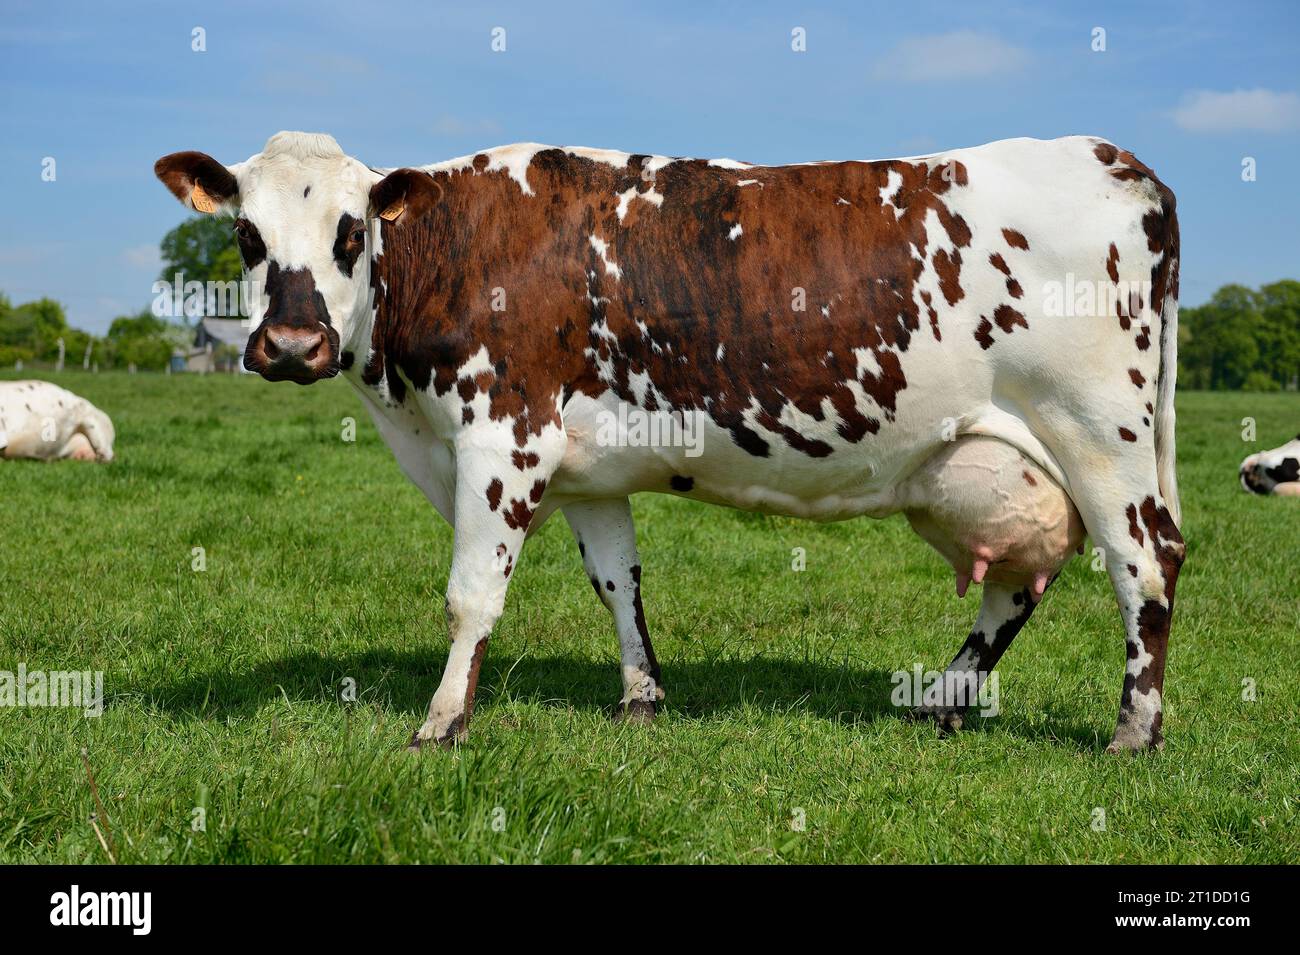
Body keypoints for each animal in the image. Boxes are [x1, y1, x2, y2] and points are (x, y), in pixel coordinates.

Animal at [154, 128, 1190, 753]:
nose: (294, 344)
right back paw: (940, 700)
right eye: (247, 236)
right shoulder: (586, 470)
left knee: (1145, 562)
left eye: (349, 231)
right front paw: (642, 699)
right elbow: (619, 582)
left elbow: (470, 596)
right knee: (1020, 581)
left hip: (1100, 435)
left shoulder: (500, 440)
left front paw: (442, 724)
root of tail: (1117, 158)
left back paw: (1133, 732)